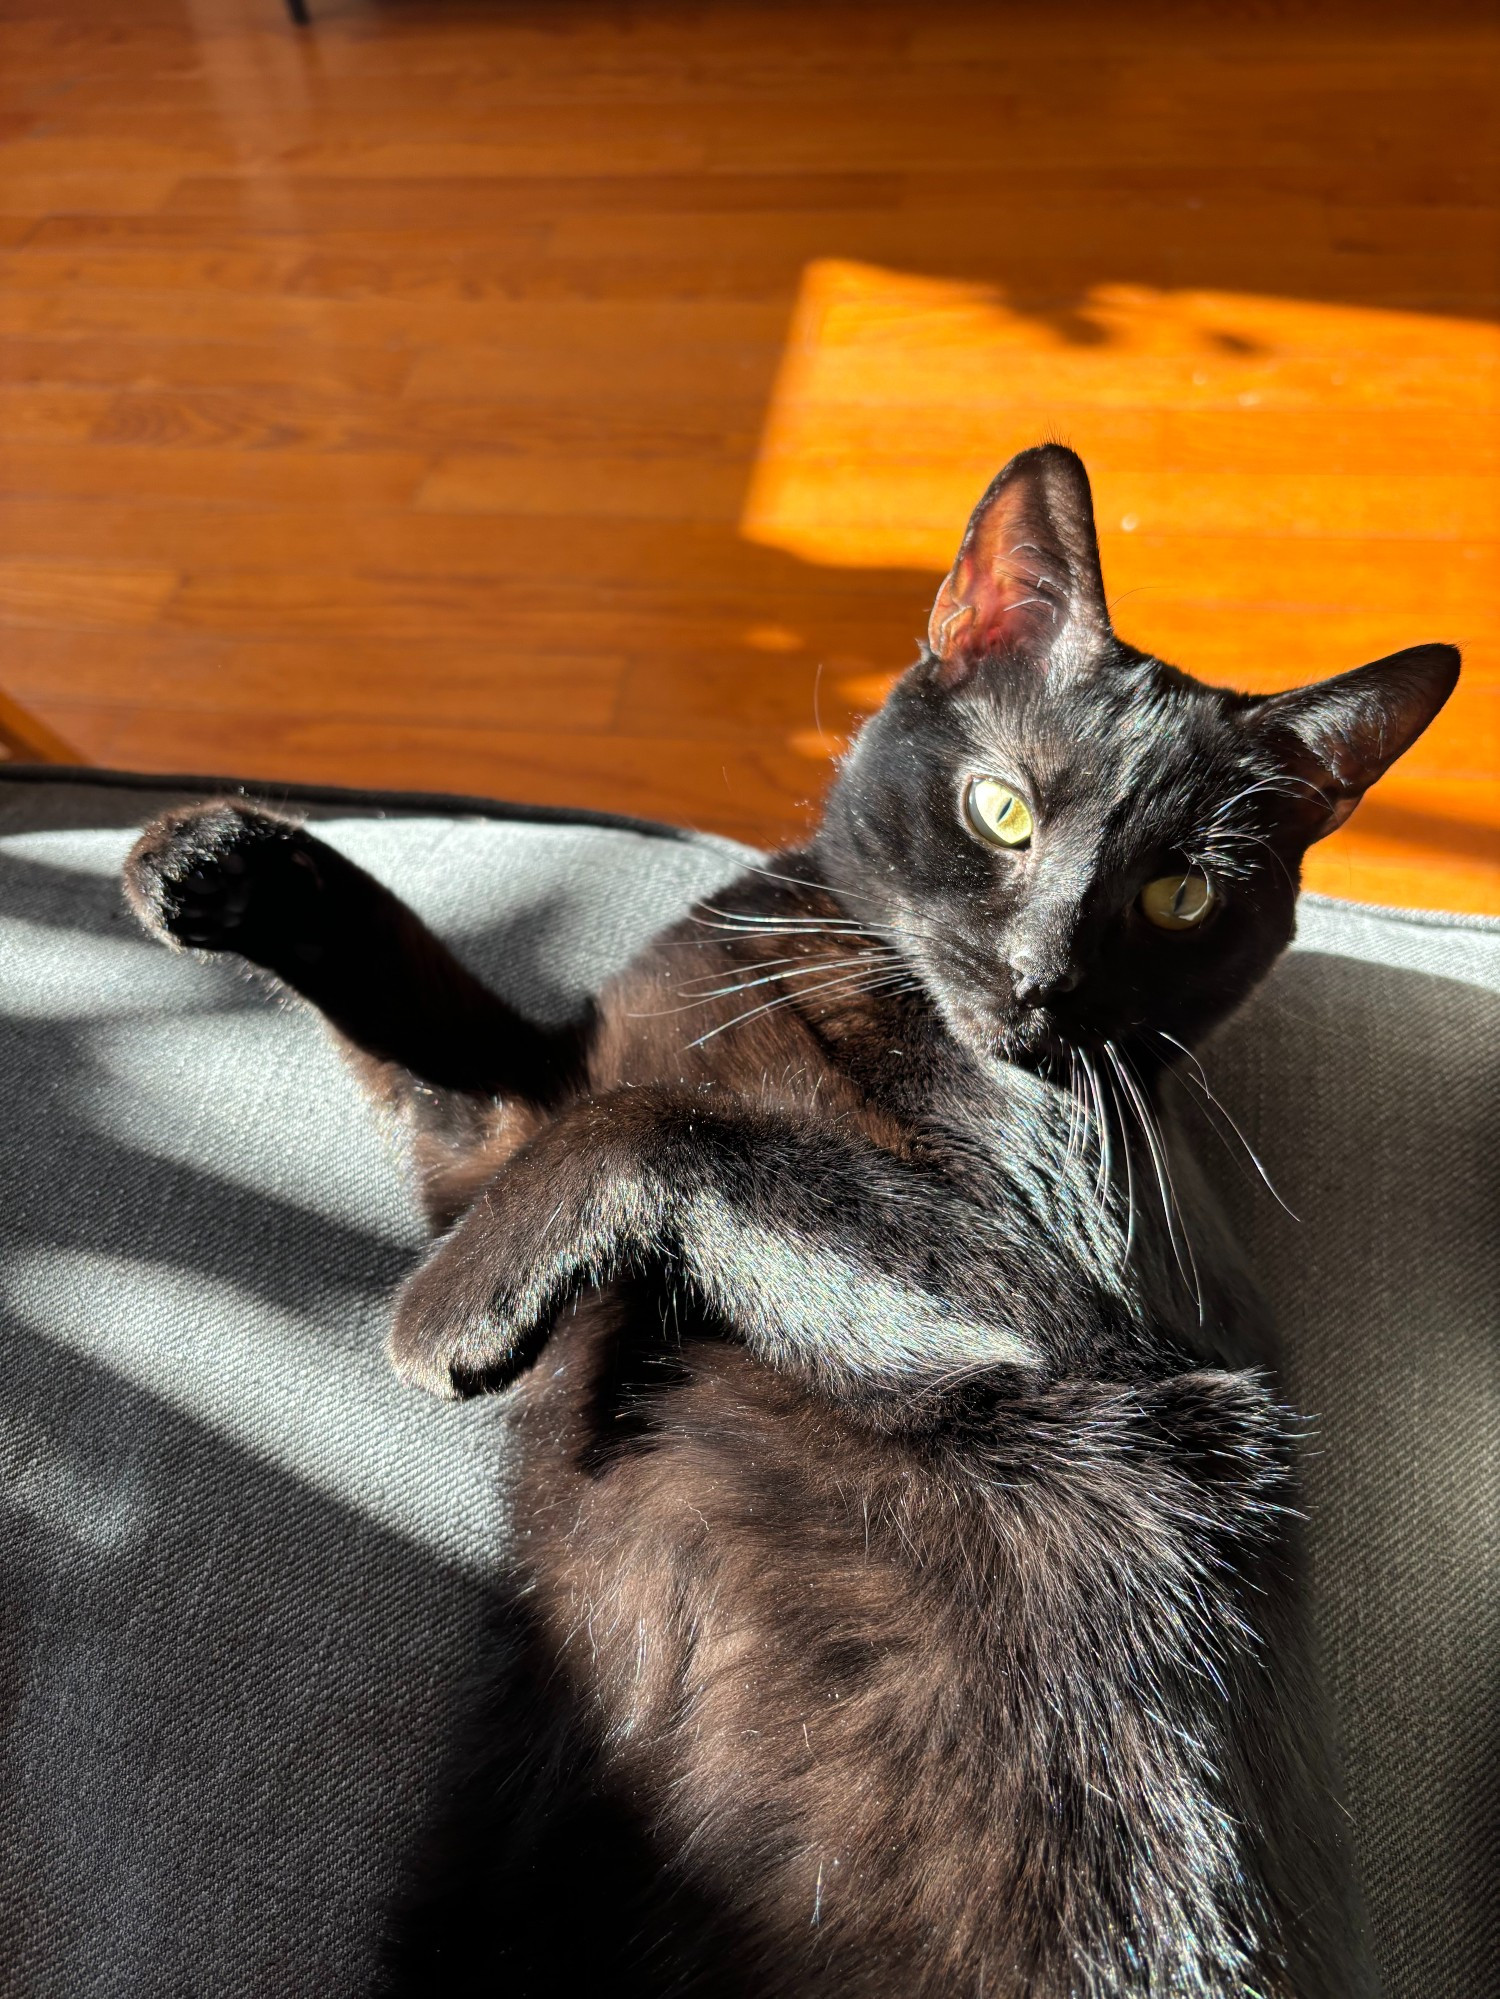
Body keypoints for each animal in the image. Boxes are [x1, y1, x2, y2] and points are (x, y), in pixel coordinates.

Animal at [129, 445, 1456, 1991]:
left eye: (1181, 894)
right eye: (1002, 809)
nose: (1039, 979)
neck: (842, 964)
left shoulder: (1061, 1303)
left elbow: (666, 1125)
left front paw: (452, 1310)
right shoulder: (501, 1126)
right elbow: (439, 1004)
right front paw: (223, 856)